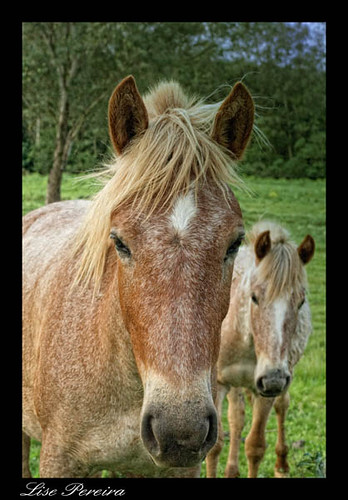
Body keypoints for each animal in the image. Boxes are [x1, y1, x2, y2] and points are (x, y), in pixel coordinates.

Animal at [207, 220, 316, 476]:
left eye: (301, 302)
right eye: (254, 297)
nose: (273, 378)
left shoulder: (266, 390)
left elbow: (255, 446)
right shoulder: (220, 383)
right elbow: (216, 445)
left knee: (282, 407)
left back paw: (281, 466)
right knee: (236, 417)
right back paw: (231, 470)